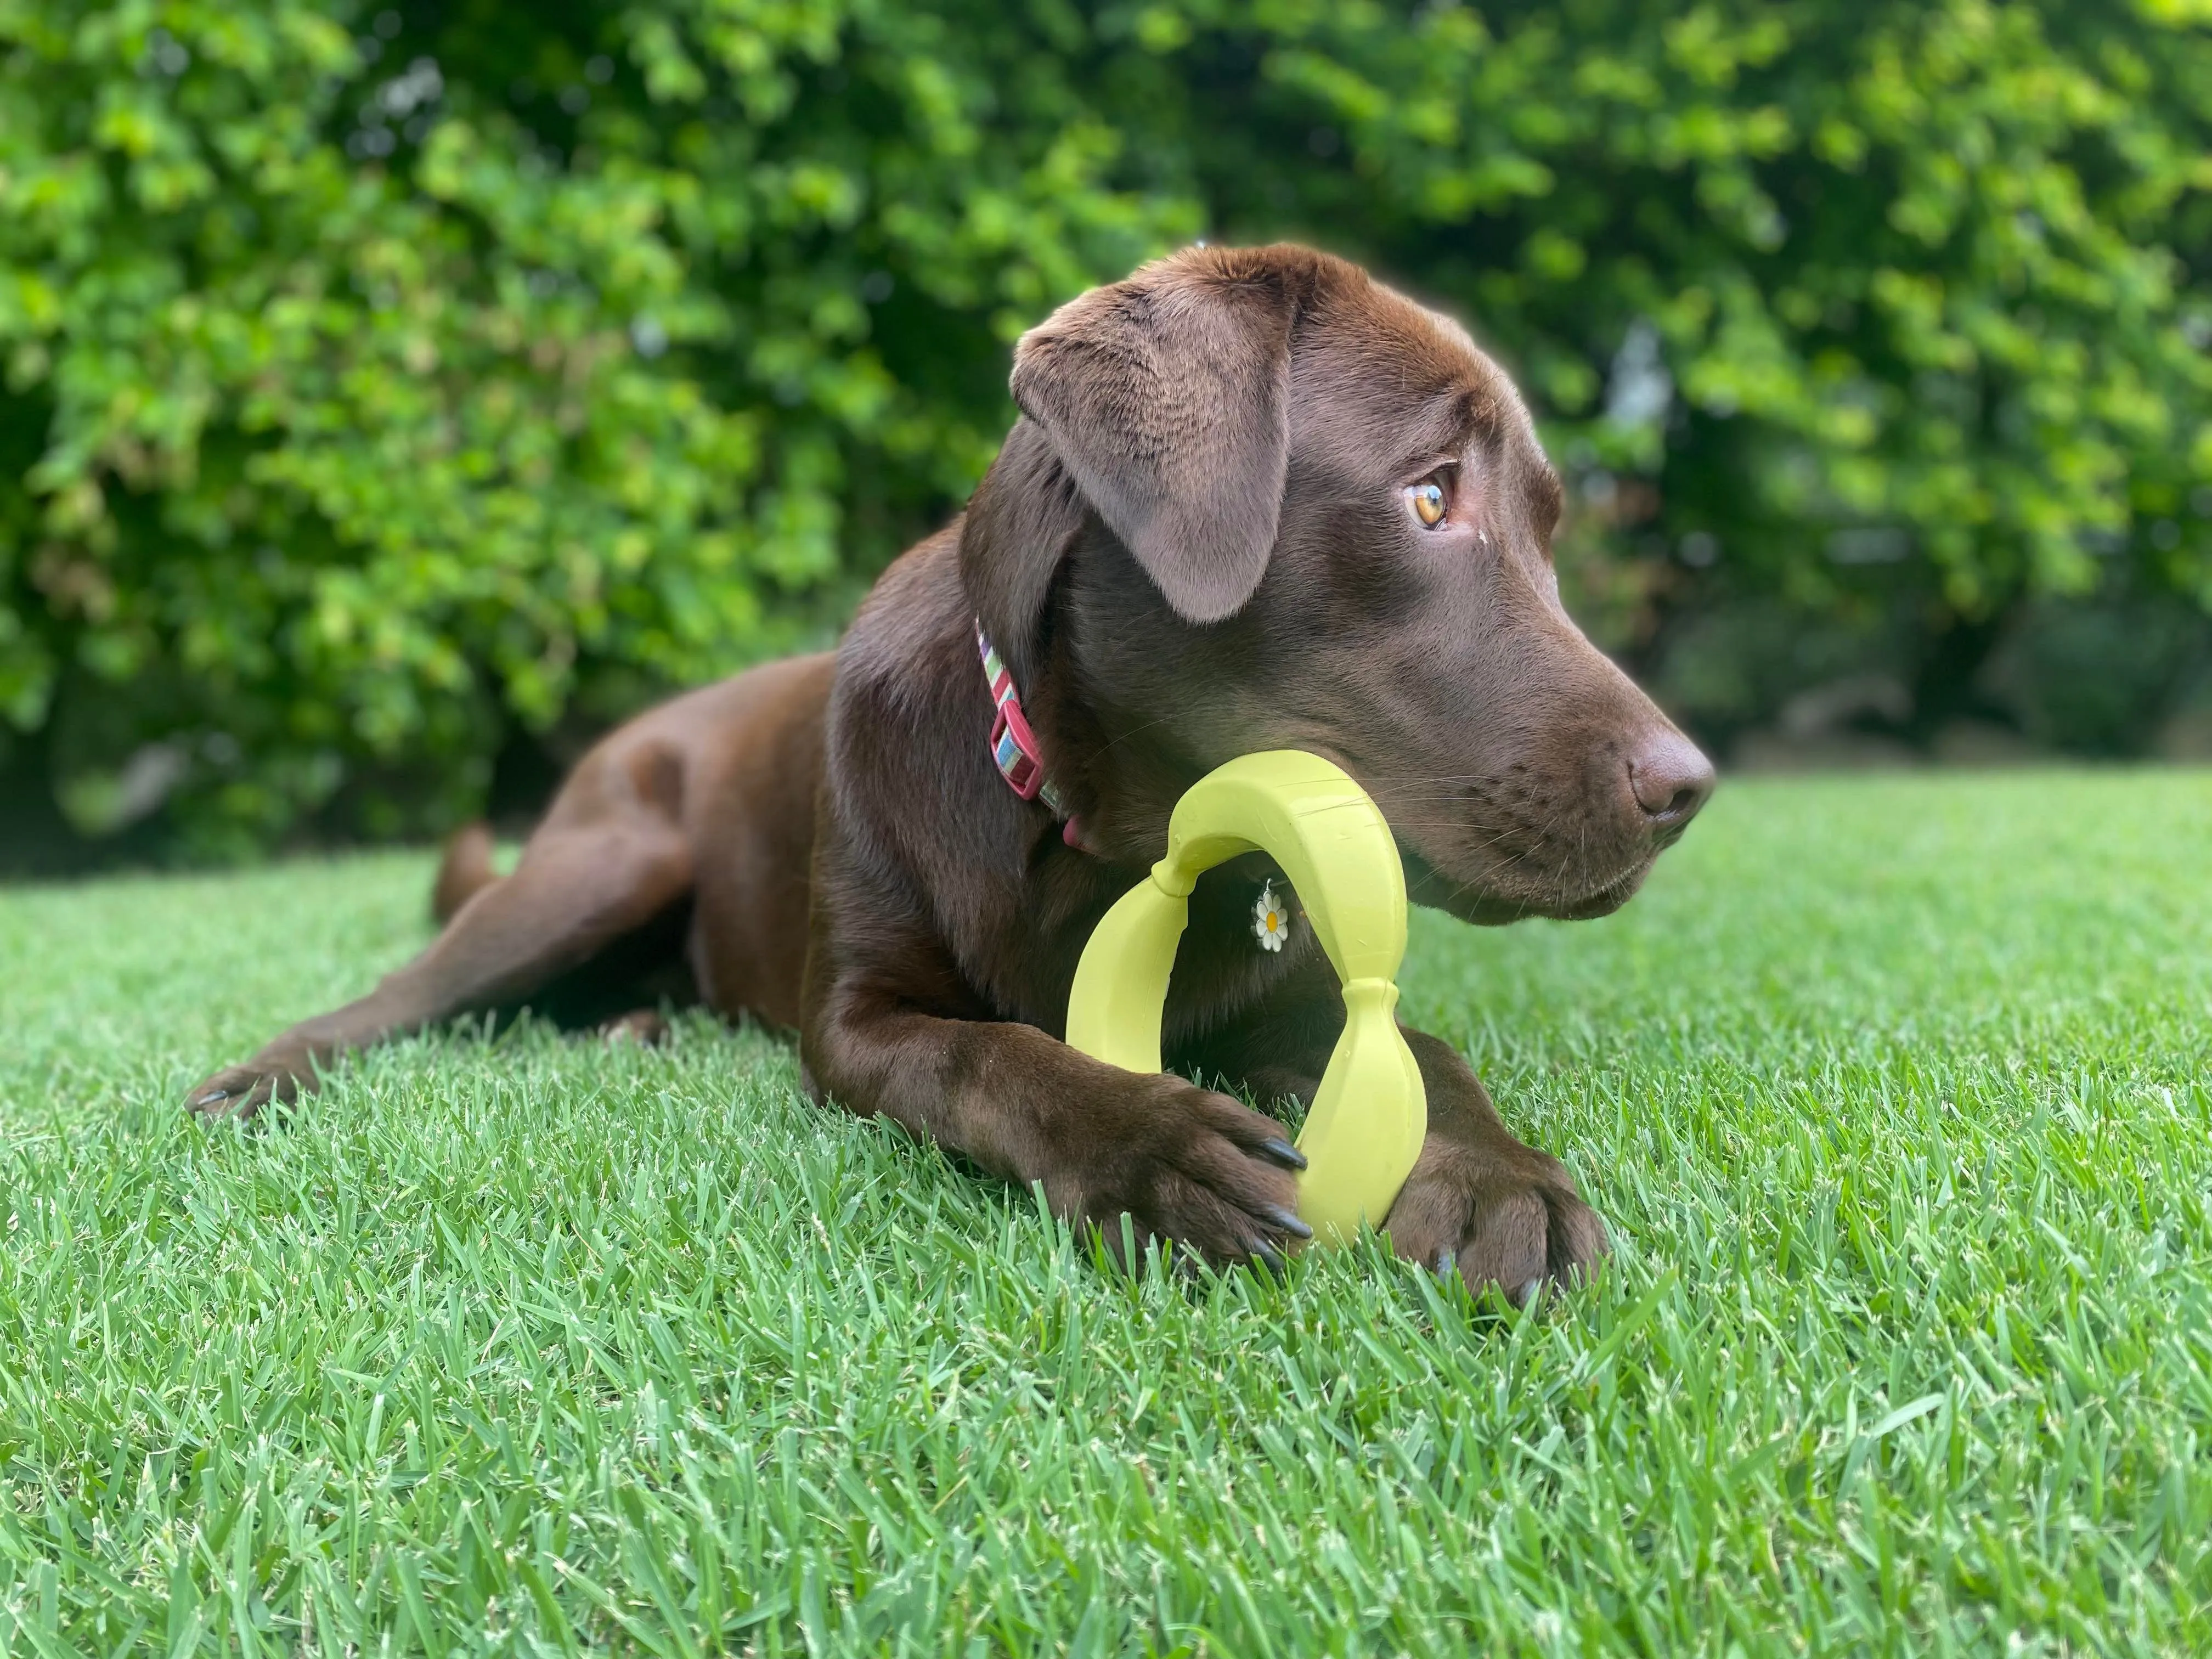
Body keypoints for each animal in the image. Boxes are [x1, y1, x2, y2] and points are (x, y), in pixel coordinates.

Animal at [185, 243, 1707, 1309]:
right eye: (1429, 497)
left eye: (1550, 531)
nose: (1687, 787)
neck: (1103, 837)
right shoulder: (855, 1022)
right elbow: (997, 1058)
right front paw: (1153, 1151)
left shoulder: (1298, 998)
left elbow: (1429, 1052)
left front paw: (1501, 1180)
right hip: (598, 863)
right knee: (397, 998)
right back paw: (259, 1080)